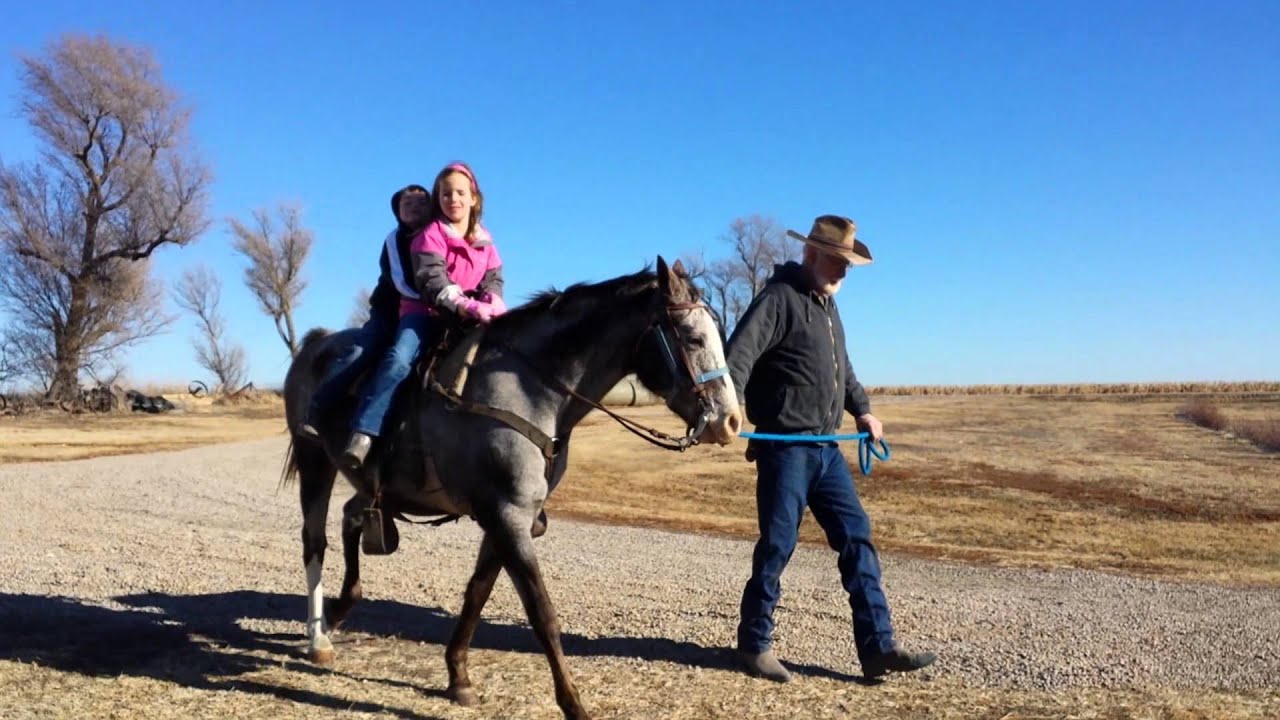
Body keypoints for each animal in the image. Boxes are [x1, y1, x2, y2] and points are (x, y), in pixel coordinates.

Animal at [280, 256, 742, 719]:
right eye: (694, 337)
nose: (731, 421)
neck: (528, 388)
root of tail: (317, 344)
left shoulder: (506, 517)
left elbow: (477, 593)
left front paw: (458, 676)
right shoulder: (508, 516)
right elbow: (542, 613)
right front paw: (573, 704)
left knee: (352, 518)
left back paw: (338, 610)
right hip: (314, 461)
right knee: (314, 542)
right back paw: (318, 638)